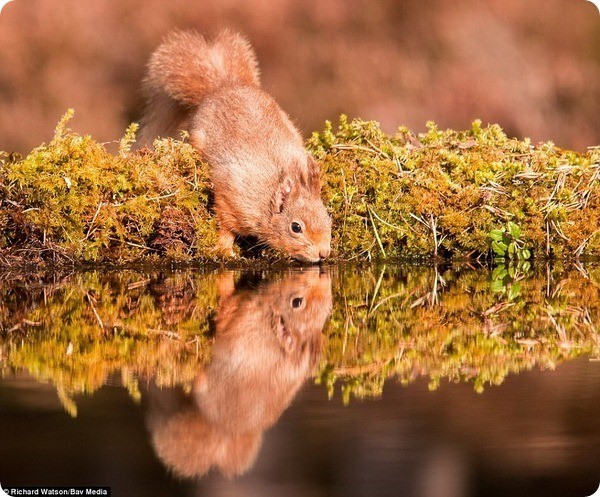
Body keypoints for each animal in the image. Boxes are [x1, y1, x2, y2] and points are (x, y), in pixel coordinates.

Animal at [138, 31, 330, 262]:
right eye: (296, 227)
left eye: (328, 218)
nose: (323, 253)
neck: (266, 197)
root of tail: (222, 86)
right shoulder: (231, 197)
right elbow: (226, 226)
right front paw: (225, 249)